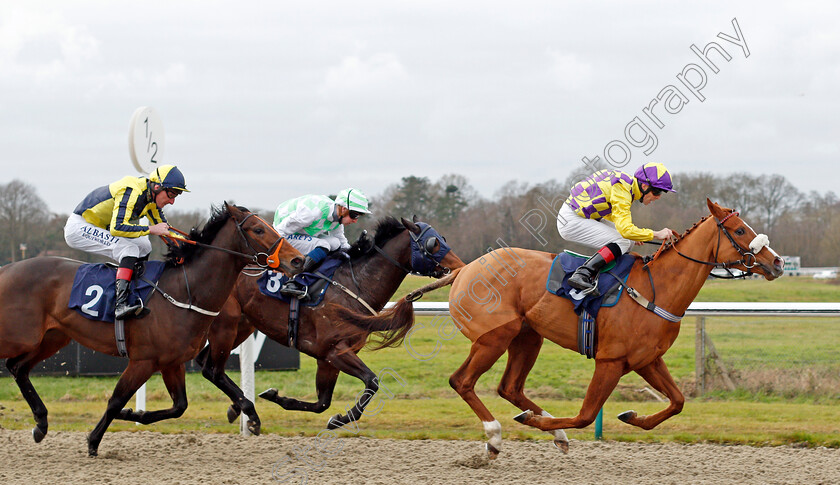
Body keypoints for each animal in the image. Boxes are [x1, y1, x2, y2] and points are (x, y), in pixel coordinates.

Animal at [0, 202, 306, 456]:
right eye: (258, 229)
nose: (298, 260)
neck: (184, 291)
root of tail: (7, 269)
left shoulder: (172, 362)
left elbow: (180, 406)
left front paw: (133, 415)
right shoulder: (143, 361)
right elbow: (115, 400)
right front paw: (94, 441)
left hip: (52, 338)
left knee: (18, 367)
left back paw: (41, 423)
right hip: (21, 336)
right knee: (15, 365)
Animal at [193, 216, 462, 432]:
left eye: (443, 238)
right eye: (433, 243)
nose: (459, 266)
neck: (356, 284)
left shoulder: (327, 358)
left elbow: (322, 403)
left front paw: (280, 398)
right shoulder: (336, 351)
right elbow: (372, 381)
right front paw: (342, 418)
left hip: (242, 325)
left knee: (205, 362)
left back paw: (236, 407)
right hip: (226, 324)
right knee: (211, 369)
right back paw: (246, 410)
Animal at [338, 199, 784, 456]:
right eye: (740, 230)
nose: (777, 262)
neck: (656, 289)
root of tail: (464, 269)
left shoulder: (646, 360)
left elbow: (677, 402)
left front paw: (631, 416)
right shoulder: (610, 361)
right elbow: (586, 415)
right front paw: (538, 425)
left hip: (527, 336)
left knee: (510, 388)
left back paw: (542, 427)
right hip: (494, 336)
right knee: (462, 381)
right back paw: (496, 434)